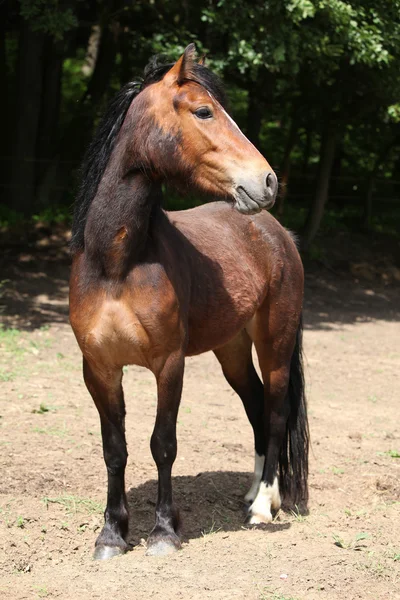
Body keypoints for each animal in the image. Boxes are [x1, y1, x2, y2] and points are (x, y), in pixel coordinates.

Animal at [69, 44, 310, 560]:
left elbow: (163, 443)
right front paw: (111, 535)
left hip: (275, 344)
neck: (117, 264)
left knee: (276, 411)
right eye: (204, 111)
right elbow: (114, 448)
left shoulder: (168, 364)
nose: (267, 181)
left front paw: (163, 532)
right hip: (232, 349)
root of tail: (278, 233)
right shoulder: (98, 368)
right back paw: (250, 493)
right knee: (256, 406)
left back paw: (264, 505)